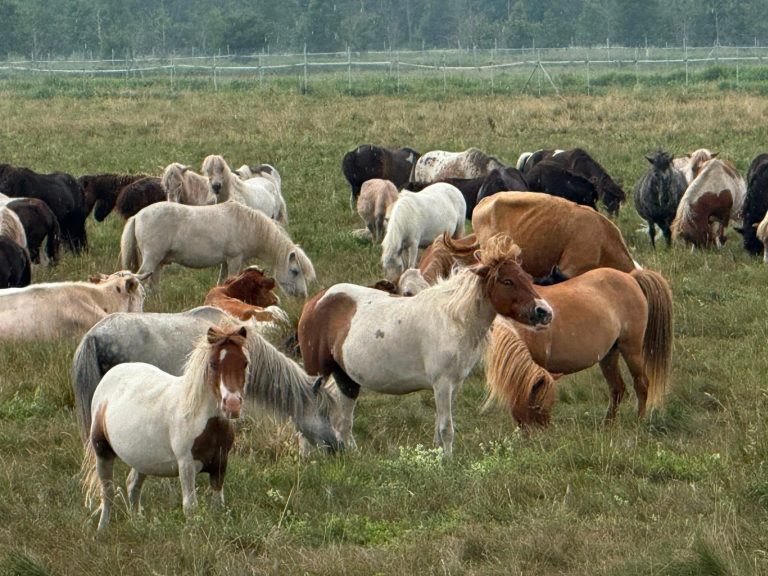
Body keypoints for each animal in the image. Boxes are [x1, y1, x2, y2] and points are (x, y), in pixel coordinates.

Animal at [81, 326, 250, 531]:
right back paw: (102, 529)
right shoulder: (186, 465)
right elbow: (190, 507)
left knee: (132, 486)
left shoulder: (220, 464)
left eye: (244, 363)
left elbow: (218, 505)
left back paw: (137, 524)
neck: (203, 420)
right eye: (213, 364)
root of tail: (110, 374)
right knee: (108, 491)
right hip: (102, 450)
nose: (232, 405)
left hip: (142, 458)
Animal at [120, 201, 315, 295]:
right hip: (151, 260)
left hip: (158, 263)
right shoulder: (235, 259)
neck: (247, 224)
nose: (303, 296)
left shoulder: (226, 261)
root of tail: (137, 215)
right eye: (295, 271)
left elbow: (222, 282)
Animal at [298, 234, 553, 456]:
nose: (545, 312)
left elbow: (440, 428)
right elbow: (446, 429)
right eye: (507, 280)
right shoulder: (442, 383)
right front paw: (447, 462)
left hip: (346, 378)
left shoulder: (454, 385)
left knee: (344, 422)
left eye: (527, 277)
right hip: (317, 374)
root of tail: (314, 303)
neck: (453, 319)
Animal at [485, 267, 673, 428]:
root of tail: (631, 277)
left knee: (641, 384)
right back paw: (607, 426)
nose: (541, 436)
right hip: (609, 355)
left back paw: (638, 422)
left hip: (631, 350)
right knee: (617, 389)